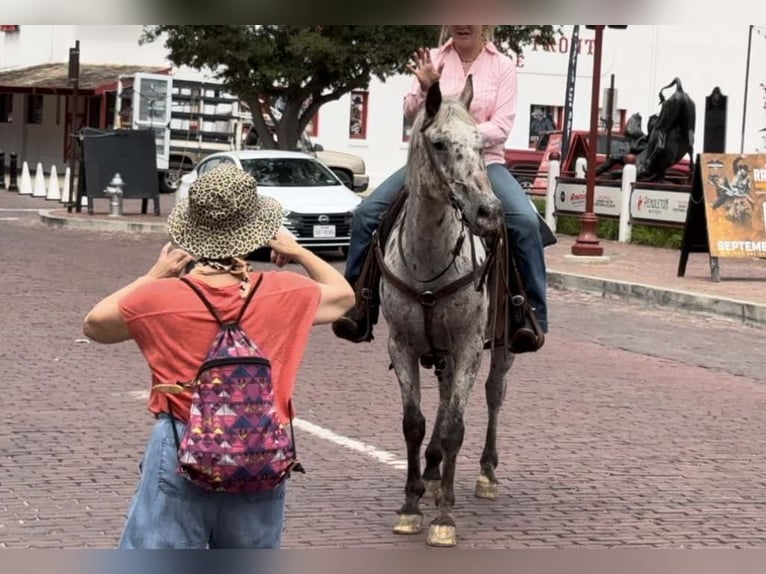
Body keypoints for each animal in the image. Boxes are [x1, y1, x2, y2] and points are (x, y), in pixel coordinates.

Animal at [376, 76, 516, 548]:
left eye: (480, 143)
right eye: (438, 143)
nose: (489, 213)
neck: (427, 261)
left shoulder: (470, 345)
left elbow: (456, 424)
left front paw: (444, 517)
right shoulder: (401, 344)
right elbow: (414, 423)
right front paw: (410, 505)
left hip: (502, 346)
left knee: (494, 394)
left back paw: (485, 473)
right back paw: (434, 471)